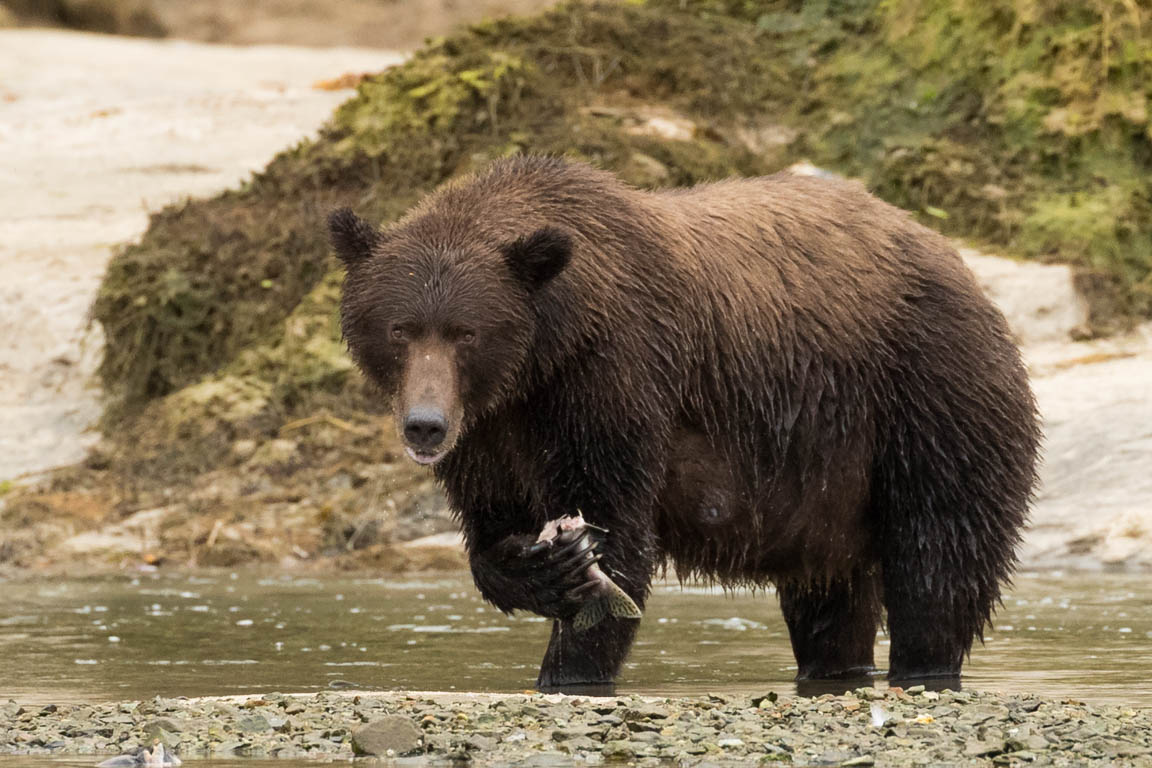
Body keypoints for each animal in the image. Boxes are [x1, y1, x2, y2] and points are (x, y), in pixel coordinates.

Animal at [329, 154, 1041, 690]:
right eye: (400, 328)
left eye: (466, 331)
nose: (424, 425)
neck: (540, 359)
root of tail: (957, 263)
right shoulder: (491, 435)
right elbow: (493, 533)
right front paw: (546, 565)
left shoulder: (615, 379)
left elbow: (618, 532)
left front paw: (571, 665)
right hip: (831, 485)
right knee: (830, 598)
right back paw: (836, 666)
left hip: (925, 397)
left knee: (936, 561)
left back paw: (924, 666)